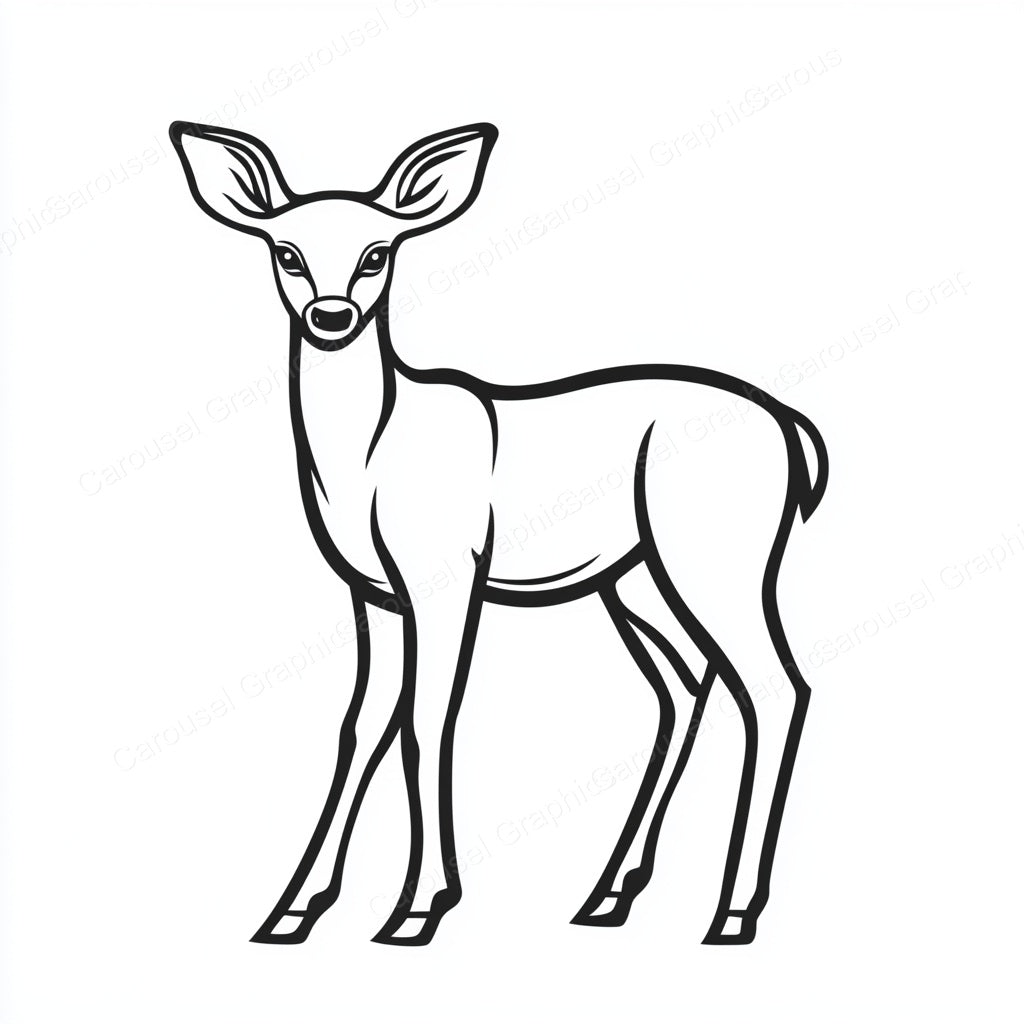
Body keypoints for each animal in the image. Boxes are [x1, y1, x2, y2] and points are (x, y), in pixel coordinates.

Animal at [169, 120, 829, 947]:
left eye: (378, 253)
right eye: (285, 252)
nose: (331, 317)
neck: (370, 459)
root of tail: (793, 430)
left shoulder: (446, 570)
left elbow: (427, 720)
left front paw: (418, 908)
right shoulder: (374, 594)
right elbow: (362, 725)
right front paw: (291, 910)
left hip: (718, 552)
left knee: (775, 684)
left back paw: (732, 913)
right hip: (633, 577)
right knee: (686, 686)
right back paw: (607, 896)